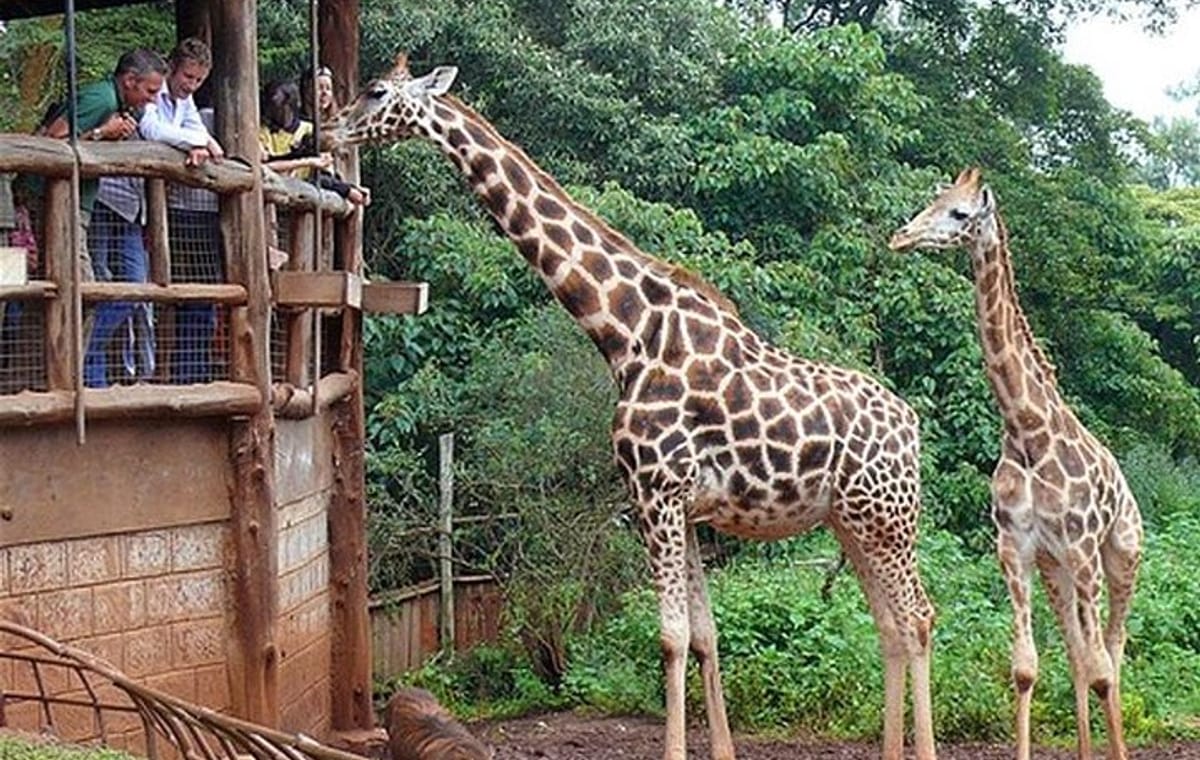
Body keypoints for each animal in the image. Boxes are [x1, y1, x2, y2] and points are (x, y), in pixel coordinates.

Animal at [331, 55, 938, 760]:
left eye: (375, 91)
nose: (332, 128)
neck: (626, 332)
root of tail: (912, 428)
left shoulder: (655, 492)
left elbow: (670, 638)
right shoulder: (686, 506)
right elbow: (703, 636)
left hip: (887, 518)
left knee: (918, 618)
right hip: (850, 519)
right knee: (890, 624)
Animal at [889, 168, 1143, 760]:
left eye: (960, 213)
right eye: (934, 199)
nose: (901, 237)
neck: (1027, 431)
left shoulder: (1083, 550)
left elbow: (1103, 671)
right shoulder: (1016, 548)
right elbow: (1026, 669)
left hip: (1119, 557)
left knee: (1113, 652)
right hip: (1057, 571)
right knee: (1078, 653)